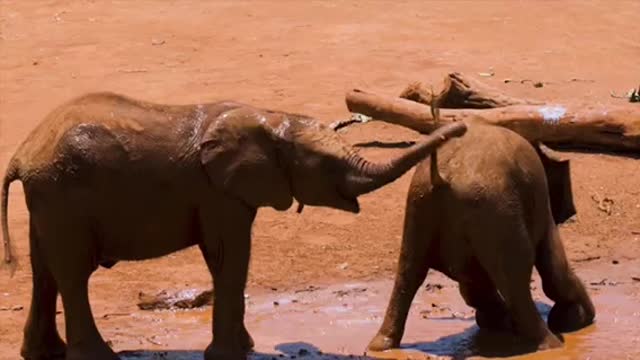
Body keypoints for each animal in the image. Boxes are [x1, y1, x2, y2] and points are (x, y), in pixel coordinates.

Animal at [2, 90, 468, 360]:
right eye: (325, 163)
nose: (459, 126)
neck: (272, 119)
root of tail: (22, 153)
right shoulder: (217, 192)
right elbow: (229, 255)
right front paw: (231, 355)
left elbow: (228, 259)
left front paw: (243, 349)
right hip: (63, 195)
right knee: (72, 273)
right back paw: (100, 358)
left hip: (50, 199)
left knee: (45, 271)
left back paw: (43, 354)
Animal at [364, 120, 596, 352]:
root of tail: (441, 175)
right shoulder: (540, 204)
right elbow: (554, 267)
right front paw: (575, 320)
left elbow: (472, 282)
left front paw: (497, 321)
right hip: (493, 209)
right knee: (516, 277)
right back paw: (550, 344)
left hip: (421, 205)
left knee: (409, 271)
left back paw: (379, 346)